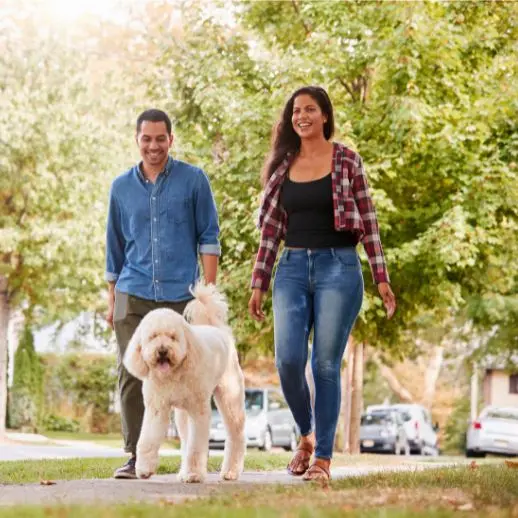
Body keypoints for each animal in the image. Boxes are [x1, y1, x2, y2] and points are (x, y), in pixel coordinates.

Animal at [125, 284, 248, 484]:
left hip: (230, 398)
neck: (173, 375)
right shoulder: (157, 408)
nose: (162, 351)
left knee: (236, 436)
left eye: (173, 337)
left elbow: (196, 446)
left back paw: (230, 472)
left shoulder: (198, 411)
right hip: (182, 414)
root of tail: (219, 330)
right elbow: (148, 439)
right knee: (184, 439)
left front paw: (193, 474)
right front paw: (144, 469)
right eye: (153, 336)